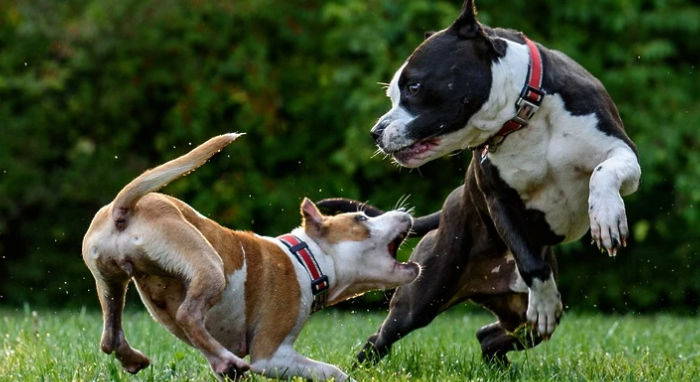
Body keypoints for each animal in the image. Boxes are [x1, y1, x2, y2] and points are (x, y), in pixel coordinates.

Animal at [83, 133, 422, 380]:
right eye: (361, 219)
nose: (406, 213)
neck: (307, 259)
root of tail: (123, 208)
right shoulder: (271, 355)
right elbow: (332, 372)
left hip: (110, 280)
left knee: (110, 336)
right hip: (209, 265)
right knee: (187, 314)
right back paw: (227, 360)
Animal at [320, 0, 644, 364]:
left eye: (414, 87)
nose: (375, 132)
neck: (524, 114)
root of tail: (450, 202)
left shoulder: (622, 151)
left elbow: (604, 171)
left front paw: (607, 216)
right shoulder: (498, 199)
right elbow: (531, 263)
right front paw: (545, 300)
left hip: (517, 316)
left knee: (490, 336)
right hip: (422, 297)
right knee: (383, 337)